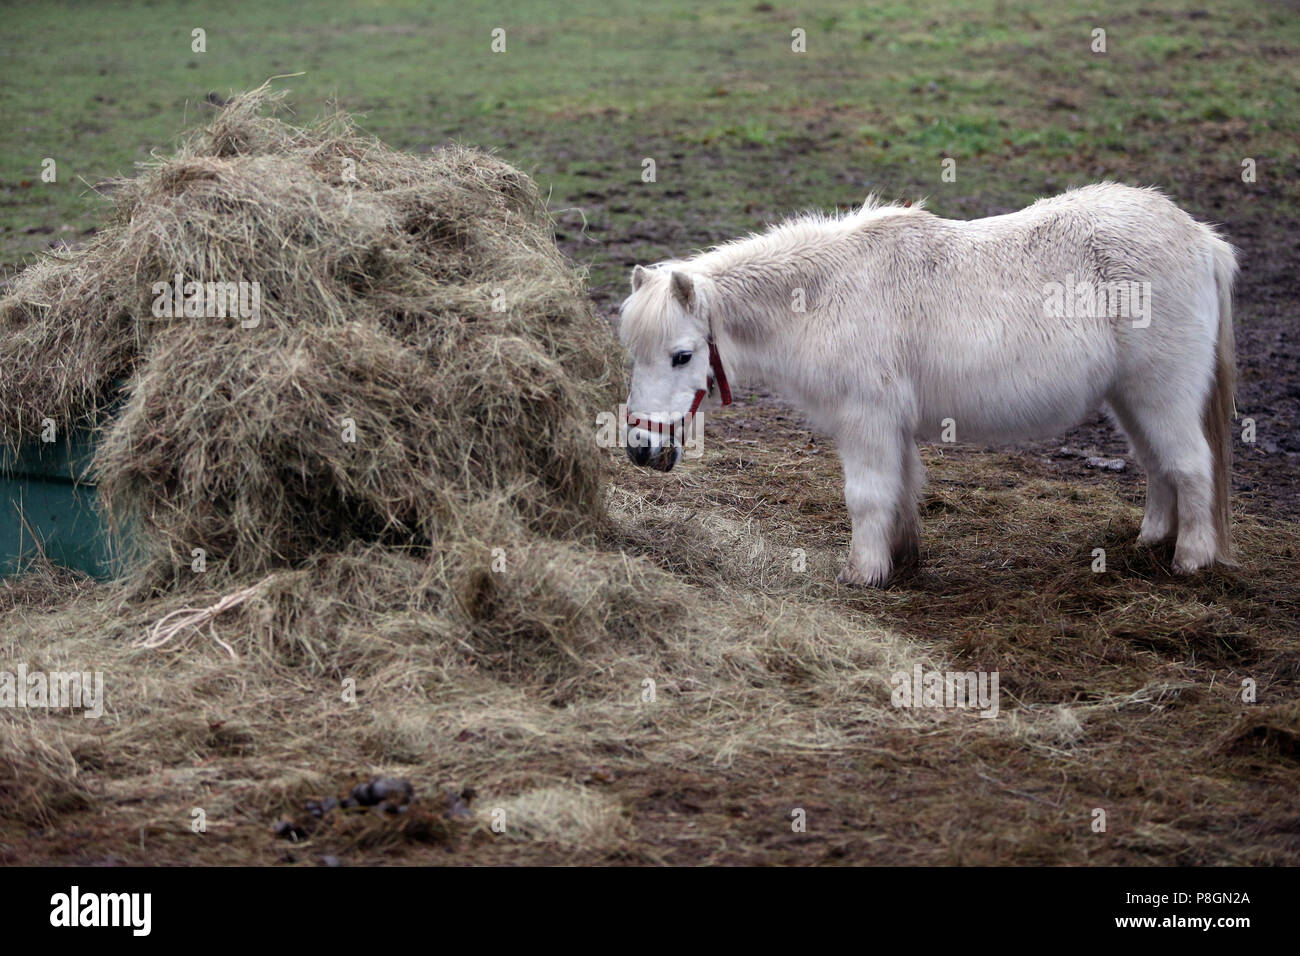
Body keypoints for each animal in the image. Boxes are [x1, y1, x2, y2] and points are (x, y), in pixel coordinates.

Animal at [618, 179, 1237, 582]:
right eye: (634, 355)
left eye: (681, 356)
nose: (641, 449)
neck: (821, 295)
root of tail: (1201, 239)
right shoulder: (892, 424)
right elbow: (902, 490)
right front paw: (901, 560)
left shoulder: (866, 419)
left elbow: (867, 495)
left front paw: (862, 574)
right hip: (1130, 399)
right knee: (1158, 466)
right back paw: (1151, 540)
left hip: (1161, 394)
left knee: (1190, 465)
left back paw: (1190, 560)